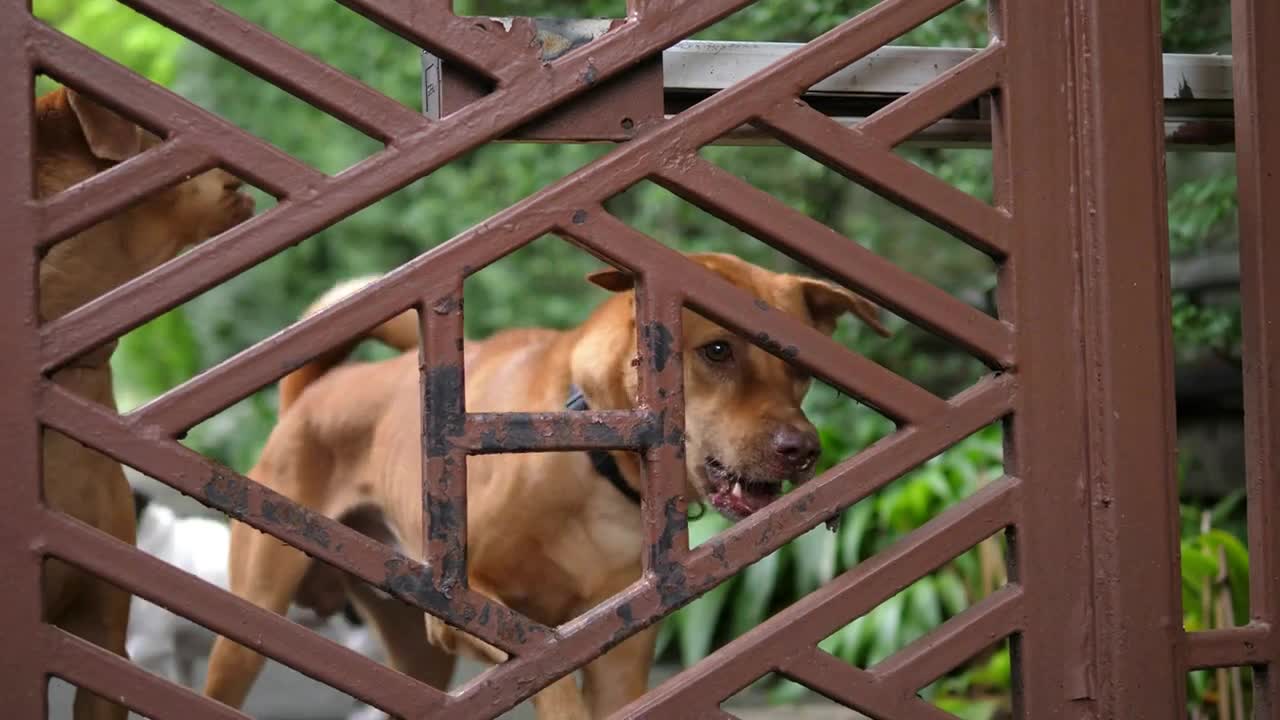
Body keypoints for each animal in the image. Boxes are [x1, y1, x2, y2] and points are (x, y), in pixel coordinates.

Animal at [204, 251, 890, 712]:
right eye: (717, 350)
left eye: (799, 368)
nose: (803, 451)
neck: (595, 464)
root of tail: (310, 394)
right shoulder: (482, 616)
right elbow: (554, 683)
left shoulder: (620, 656)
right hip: (250, 631)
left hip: (419, 656)